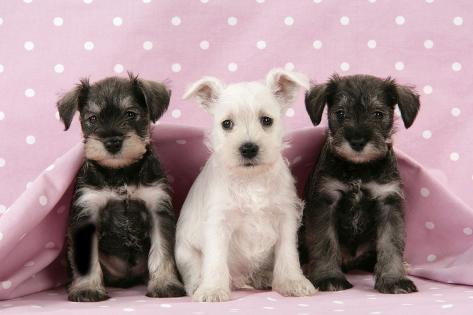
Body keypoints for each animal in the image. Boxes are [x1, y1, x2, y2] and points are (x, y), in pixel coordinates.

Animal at [57, 74, 184, 304]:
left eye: (131, 114)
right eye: (92, 119)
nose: (112, 142)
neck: (121, 173)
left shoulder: (157, 210)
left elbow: (162, 251)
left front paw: (165, 285)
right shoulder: (88, 209)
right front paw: (87, 289)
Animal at [174, 69, 318, 304]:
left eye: (266, 120)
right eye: (226, 124)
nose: (248, 148)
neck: (251, 179)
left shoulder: (285, 218)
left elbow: (288, 255)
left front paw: (293, 282)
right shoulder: (218, 223)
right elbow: (215, 260)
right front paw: (212, 290)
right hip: (185, 252)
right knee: (195, 271)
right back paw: (198, 285)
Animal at [300, 75, 418, 296]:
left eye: (378, 114)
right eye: (340, 113)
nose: (357, 141)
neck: (359, 168)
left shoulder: (388, 202)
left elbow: (391, 244)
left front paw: (394, 279)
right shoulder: (326, 201)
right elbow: (324, 242)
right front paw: (329, 277)